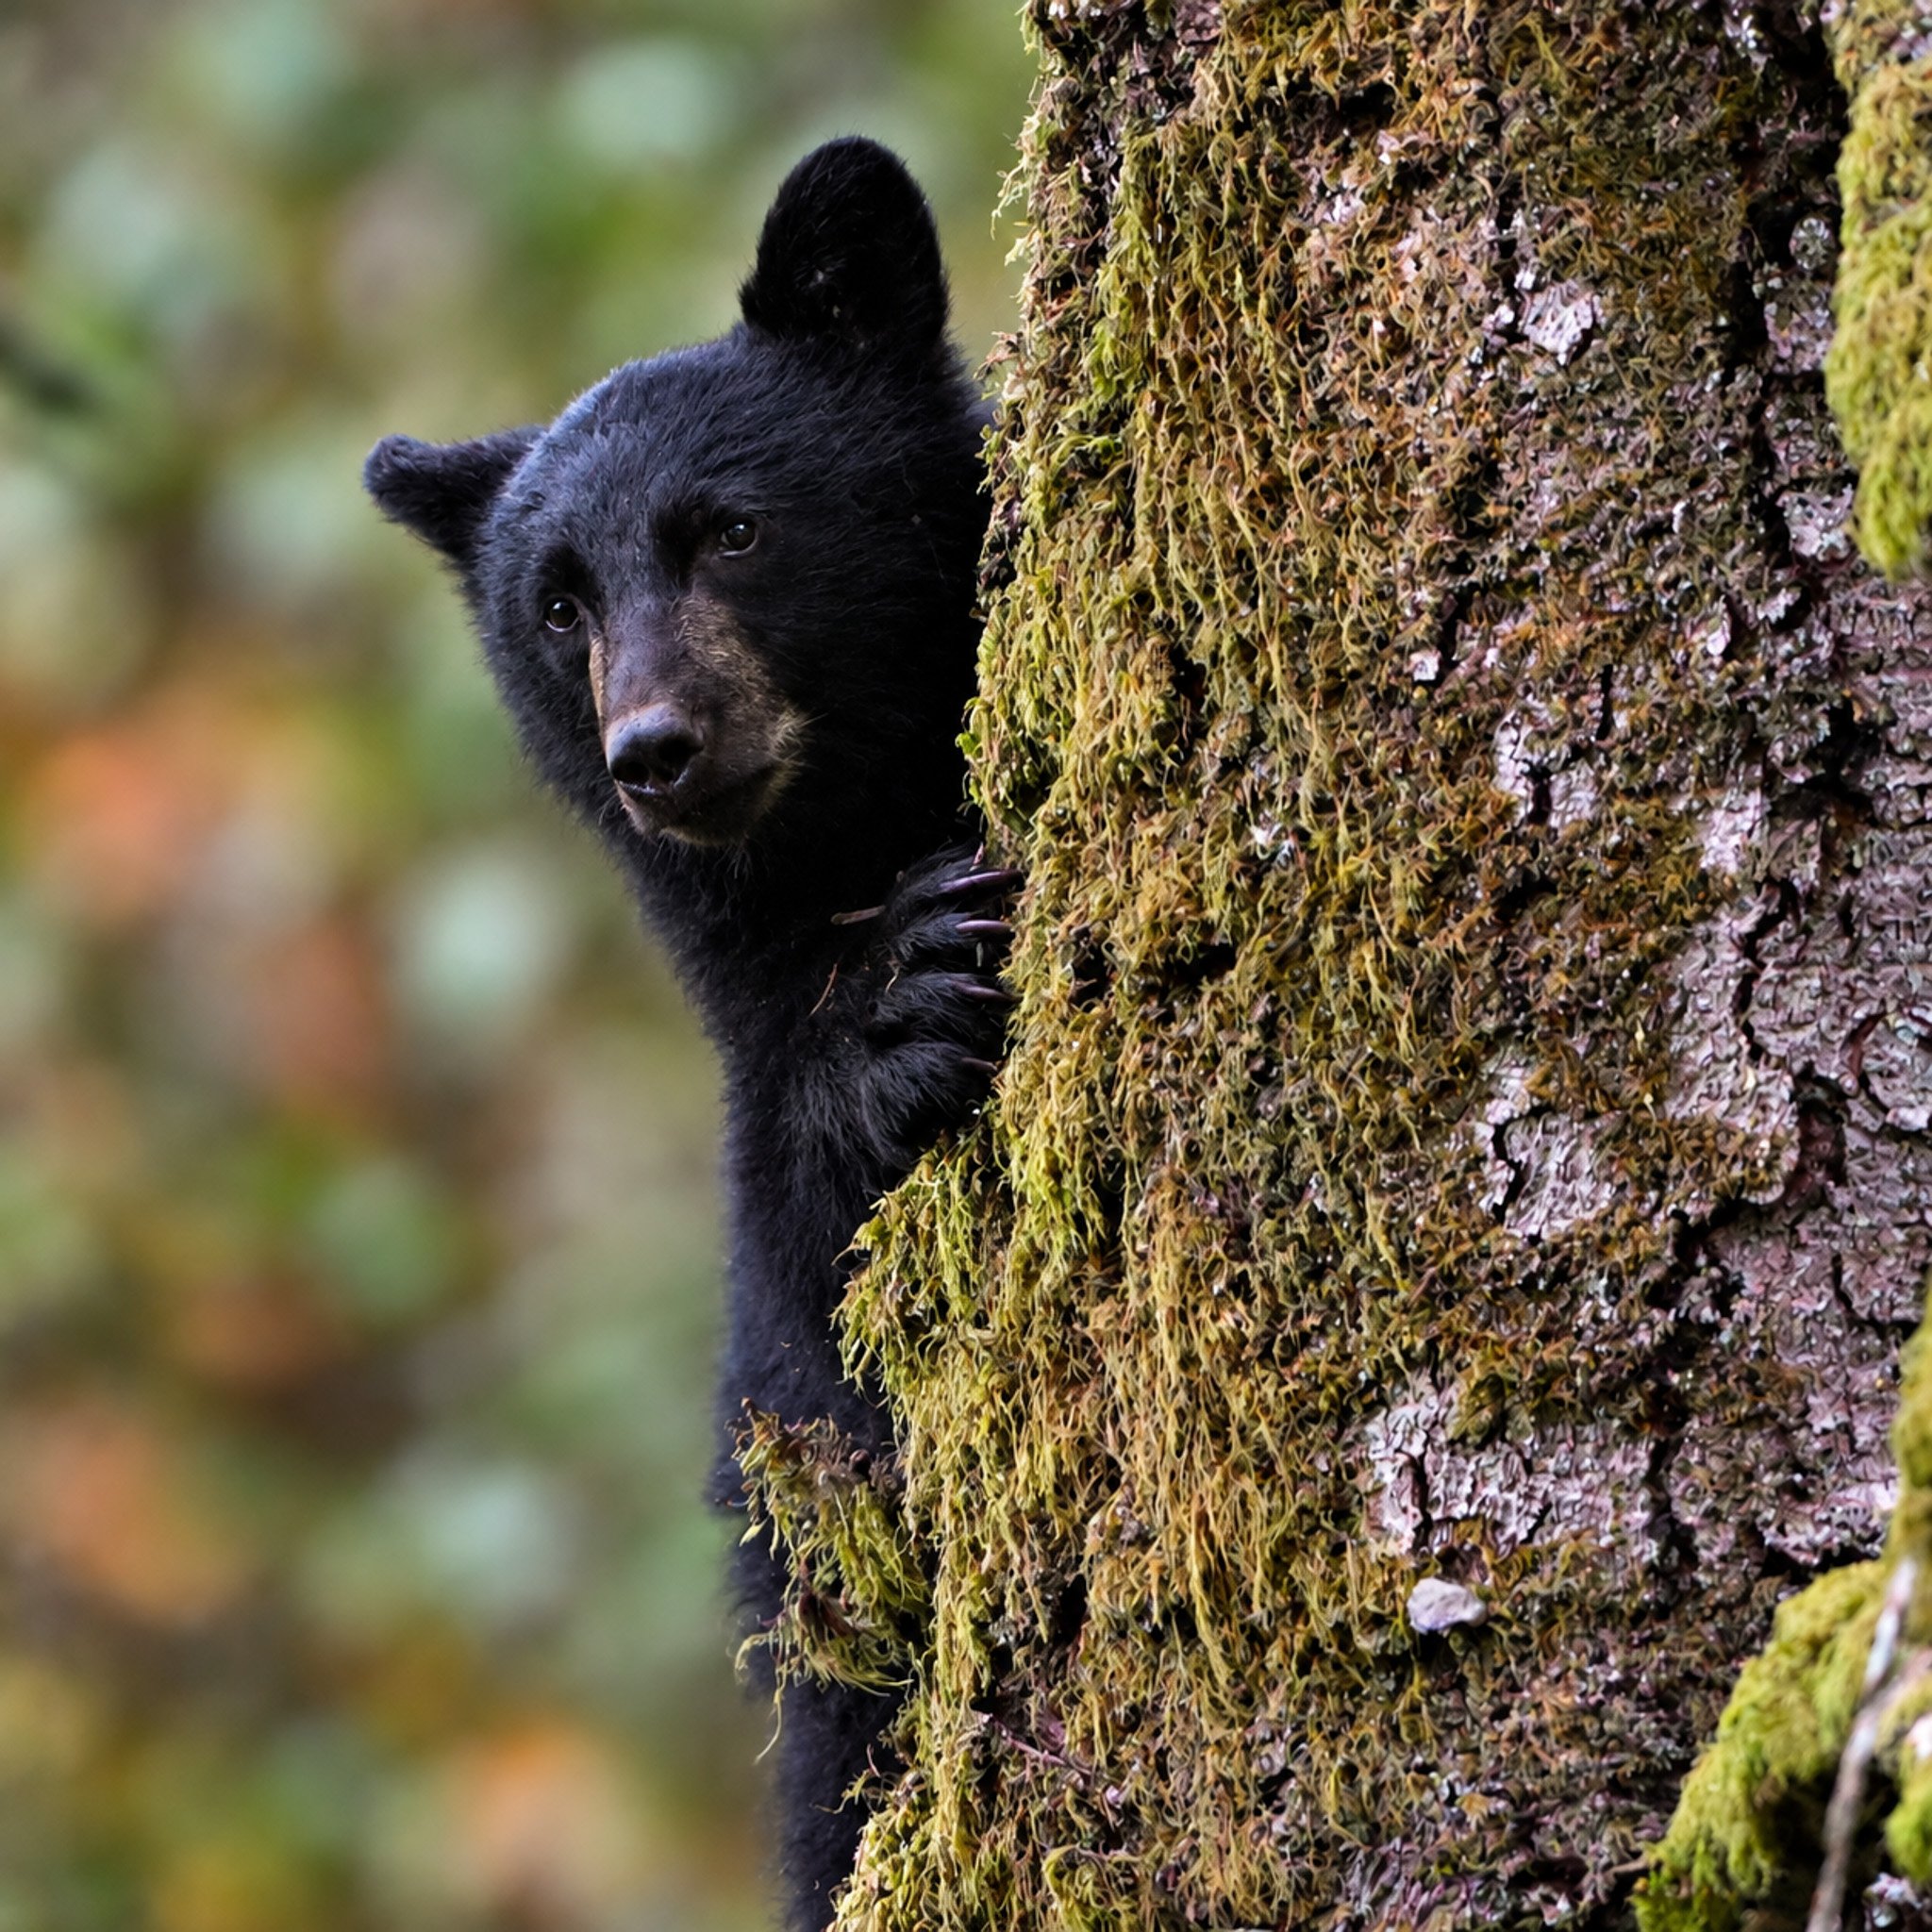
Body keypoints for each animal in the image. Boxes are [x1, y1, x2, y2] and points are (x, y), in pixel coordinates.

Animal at [363, 139, 1009, 1930]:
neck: (858, 836)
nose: (652, 747)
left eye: (729, 527)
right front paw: (900, 1008)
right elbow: (815, 1271)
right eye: (555, 603)